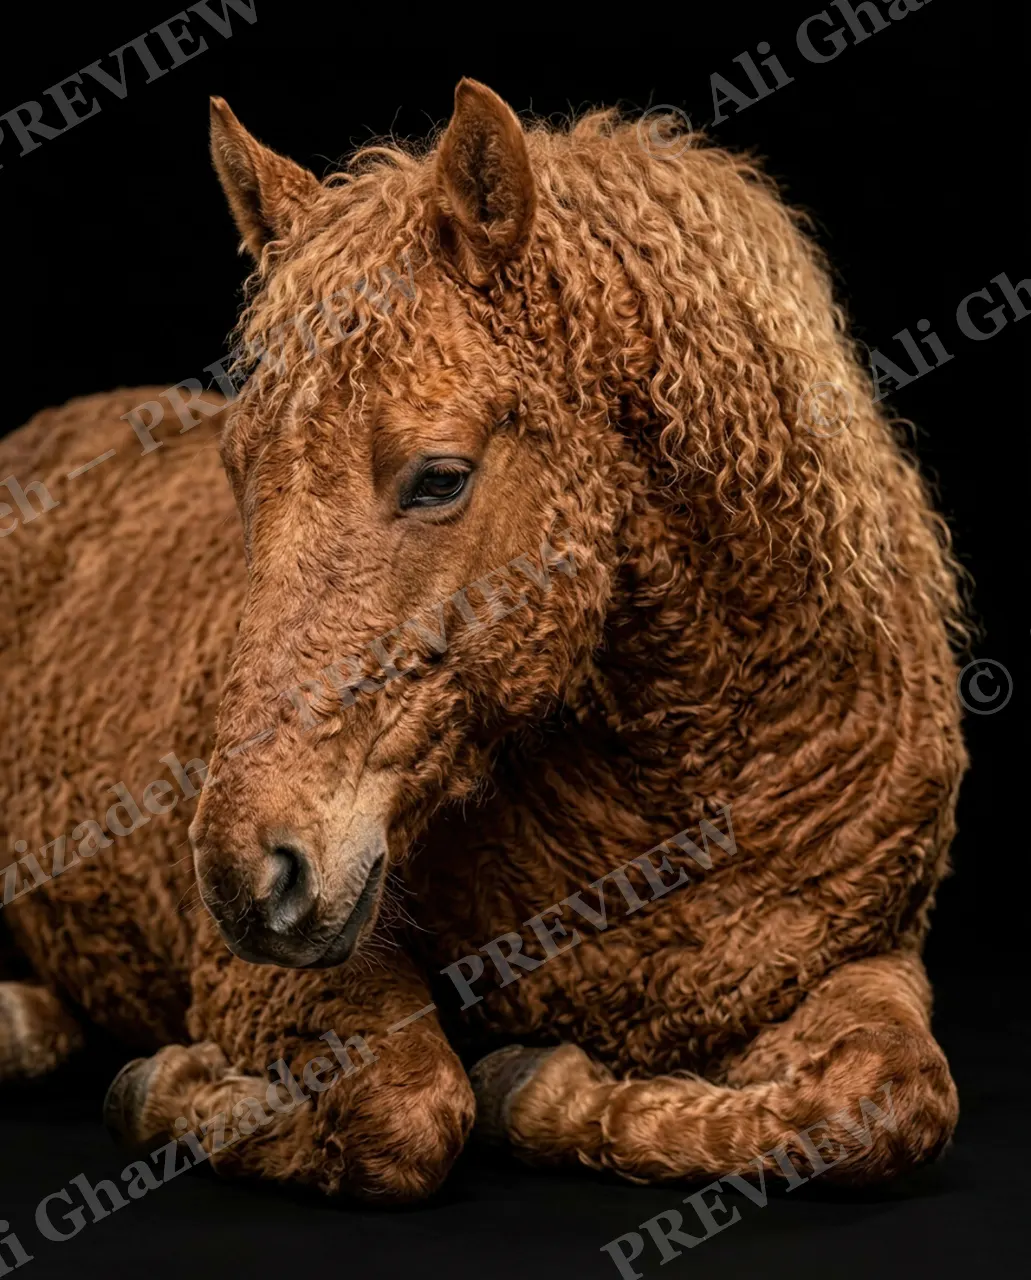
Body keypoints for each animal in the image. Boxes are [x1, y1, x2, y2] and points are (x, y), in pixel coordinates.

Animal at [0, 79, 966, 1202]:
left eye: (440, 477)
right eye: (238, 471)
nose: (245, 873)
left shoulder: (868, 959)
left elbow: (889, 1102)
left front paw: (555, 1088)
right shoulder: (260, 972)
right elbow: (410, 1107)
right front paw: (170, 1085)